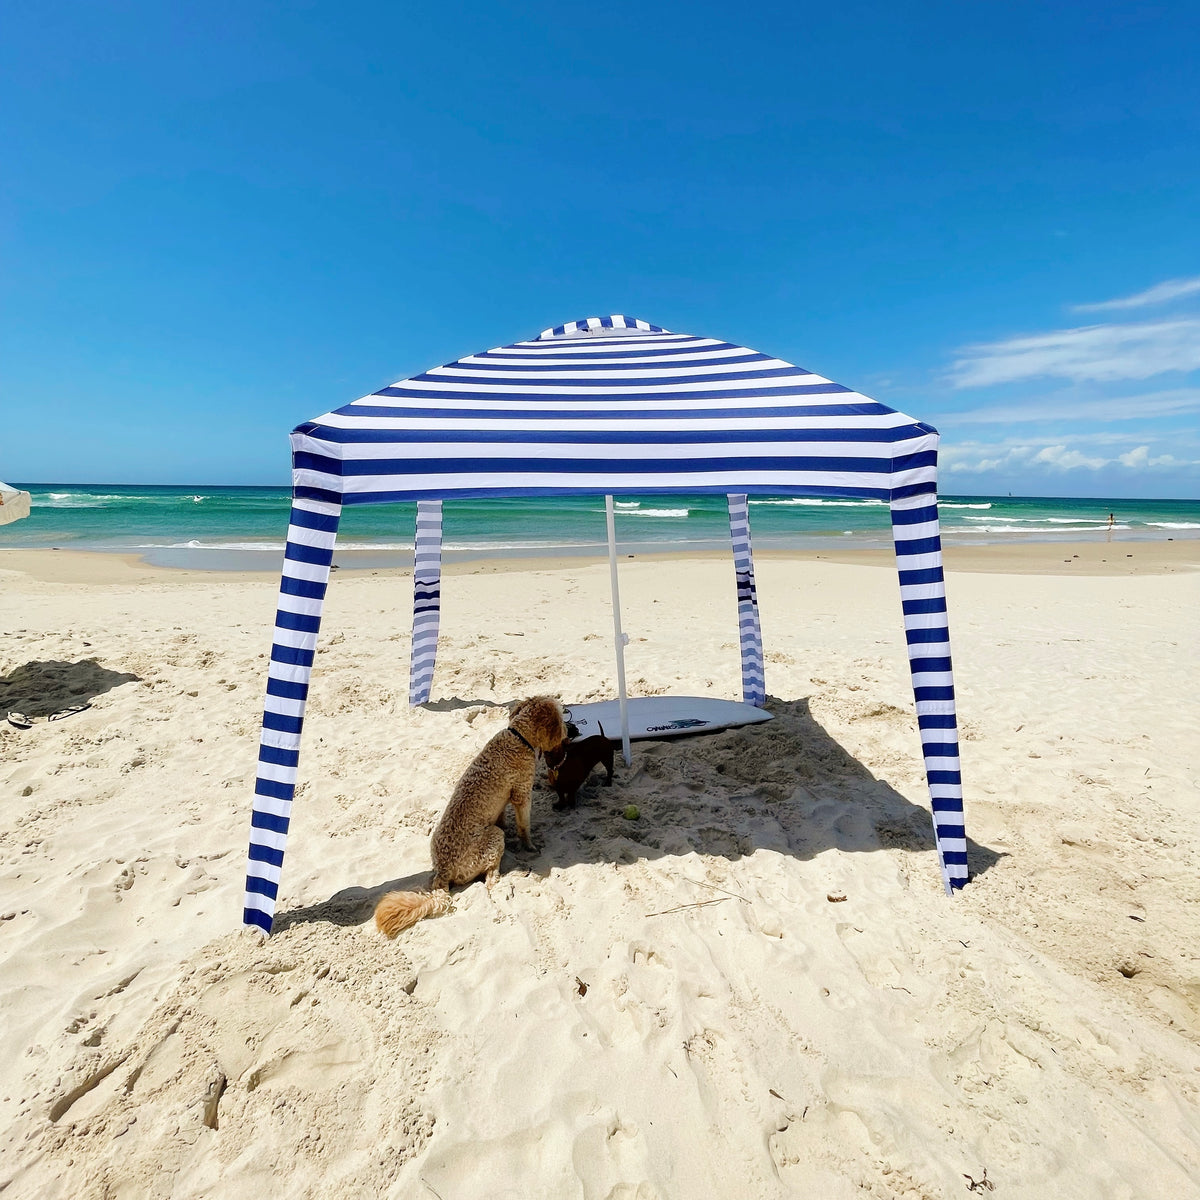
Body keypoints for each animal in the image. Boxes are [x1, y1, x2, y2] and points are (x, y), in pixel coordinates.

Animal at [374, 700, 566, 940]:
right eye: (561, 718)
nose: (568, 732)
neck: (518, 736)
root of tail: (443, 871)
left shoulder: (504, 801)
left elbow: (502, 817)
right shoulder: (522, 794)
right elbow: (525, 826)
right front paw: (529, 846)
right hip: (493, 838)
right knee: (490, 879)